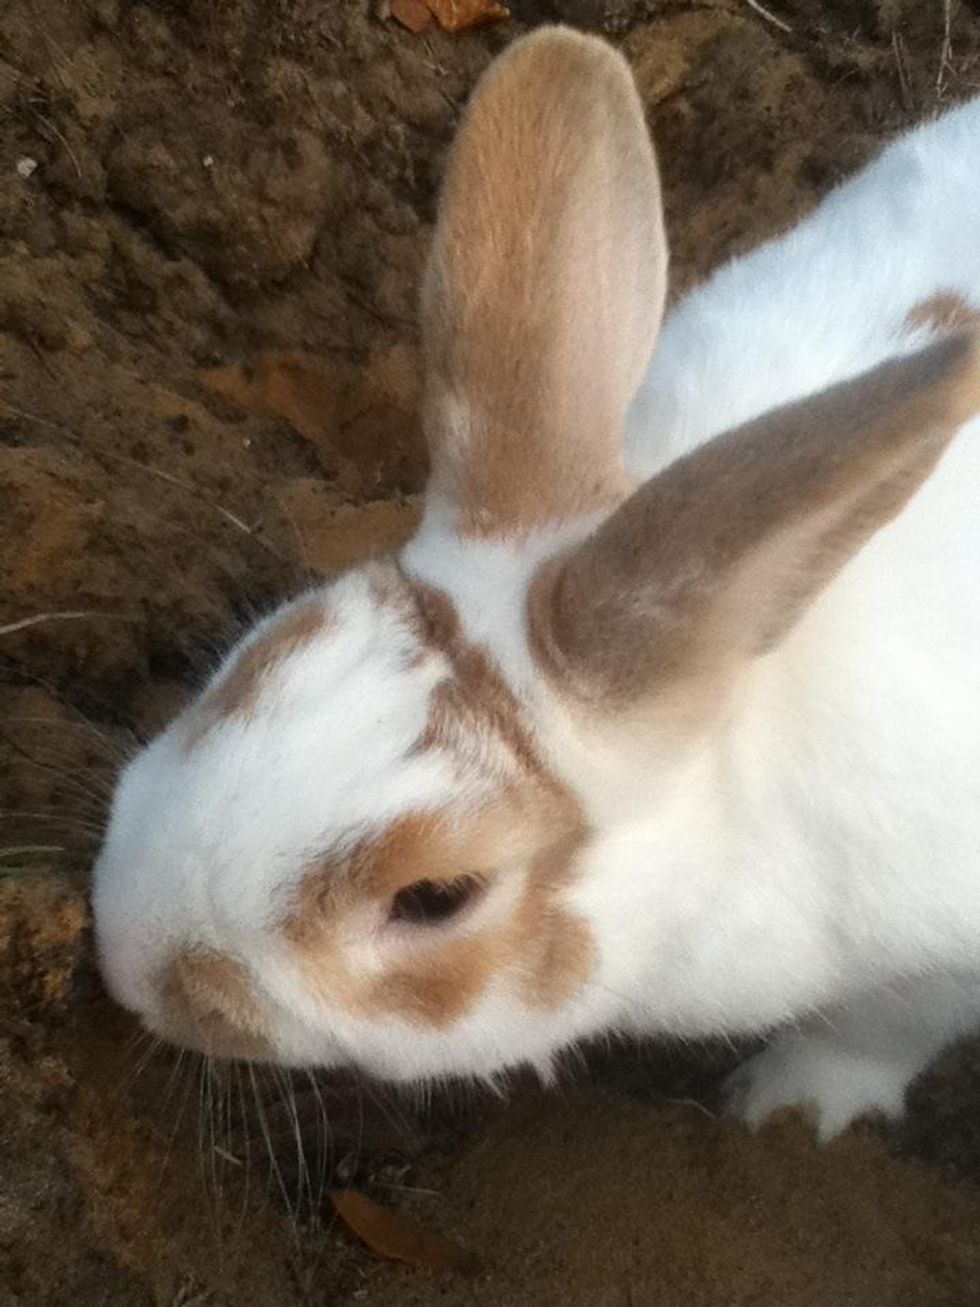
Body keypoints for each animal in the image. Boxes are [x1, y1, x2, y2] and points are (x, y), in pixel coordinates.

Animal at [92, 26, 980, 1141]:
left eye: (436, 896)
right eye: (259, 651)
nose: (129, 960)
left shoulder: (935, 964)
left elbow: (881, 1028)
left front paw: (786, 1104)